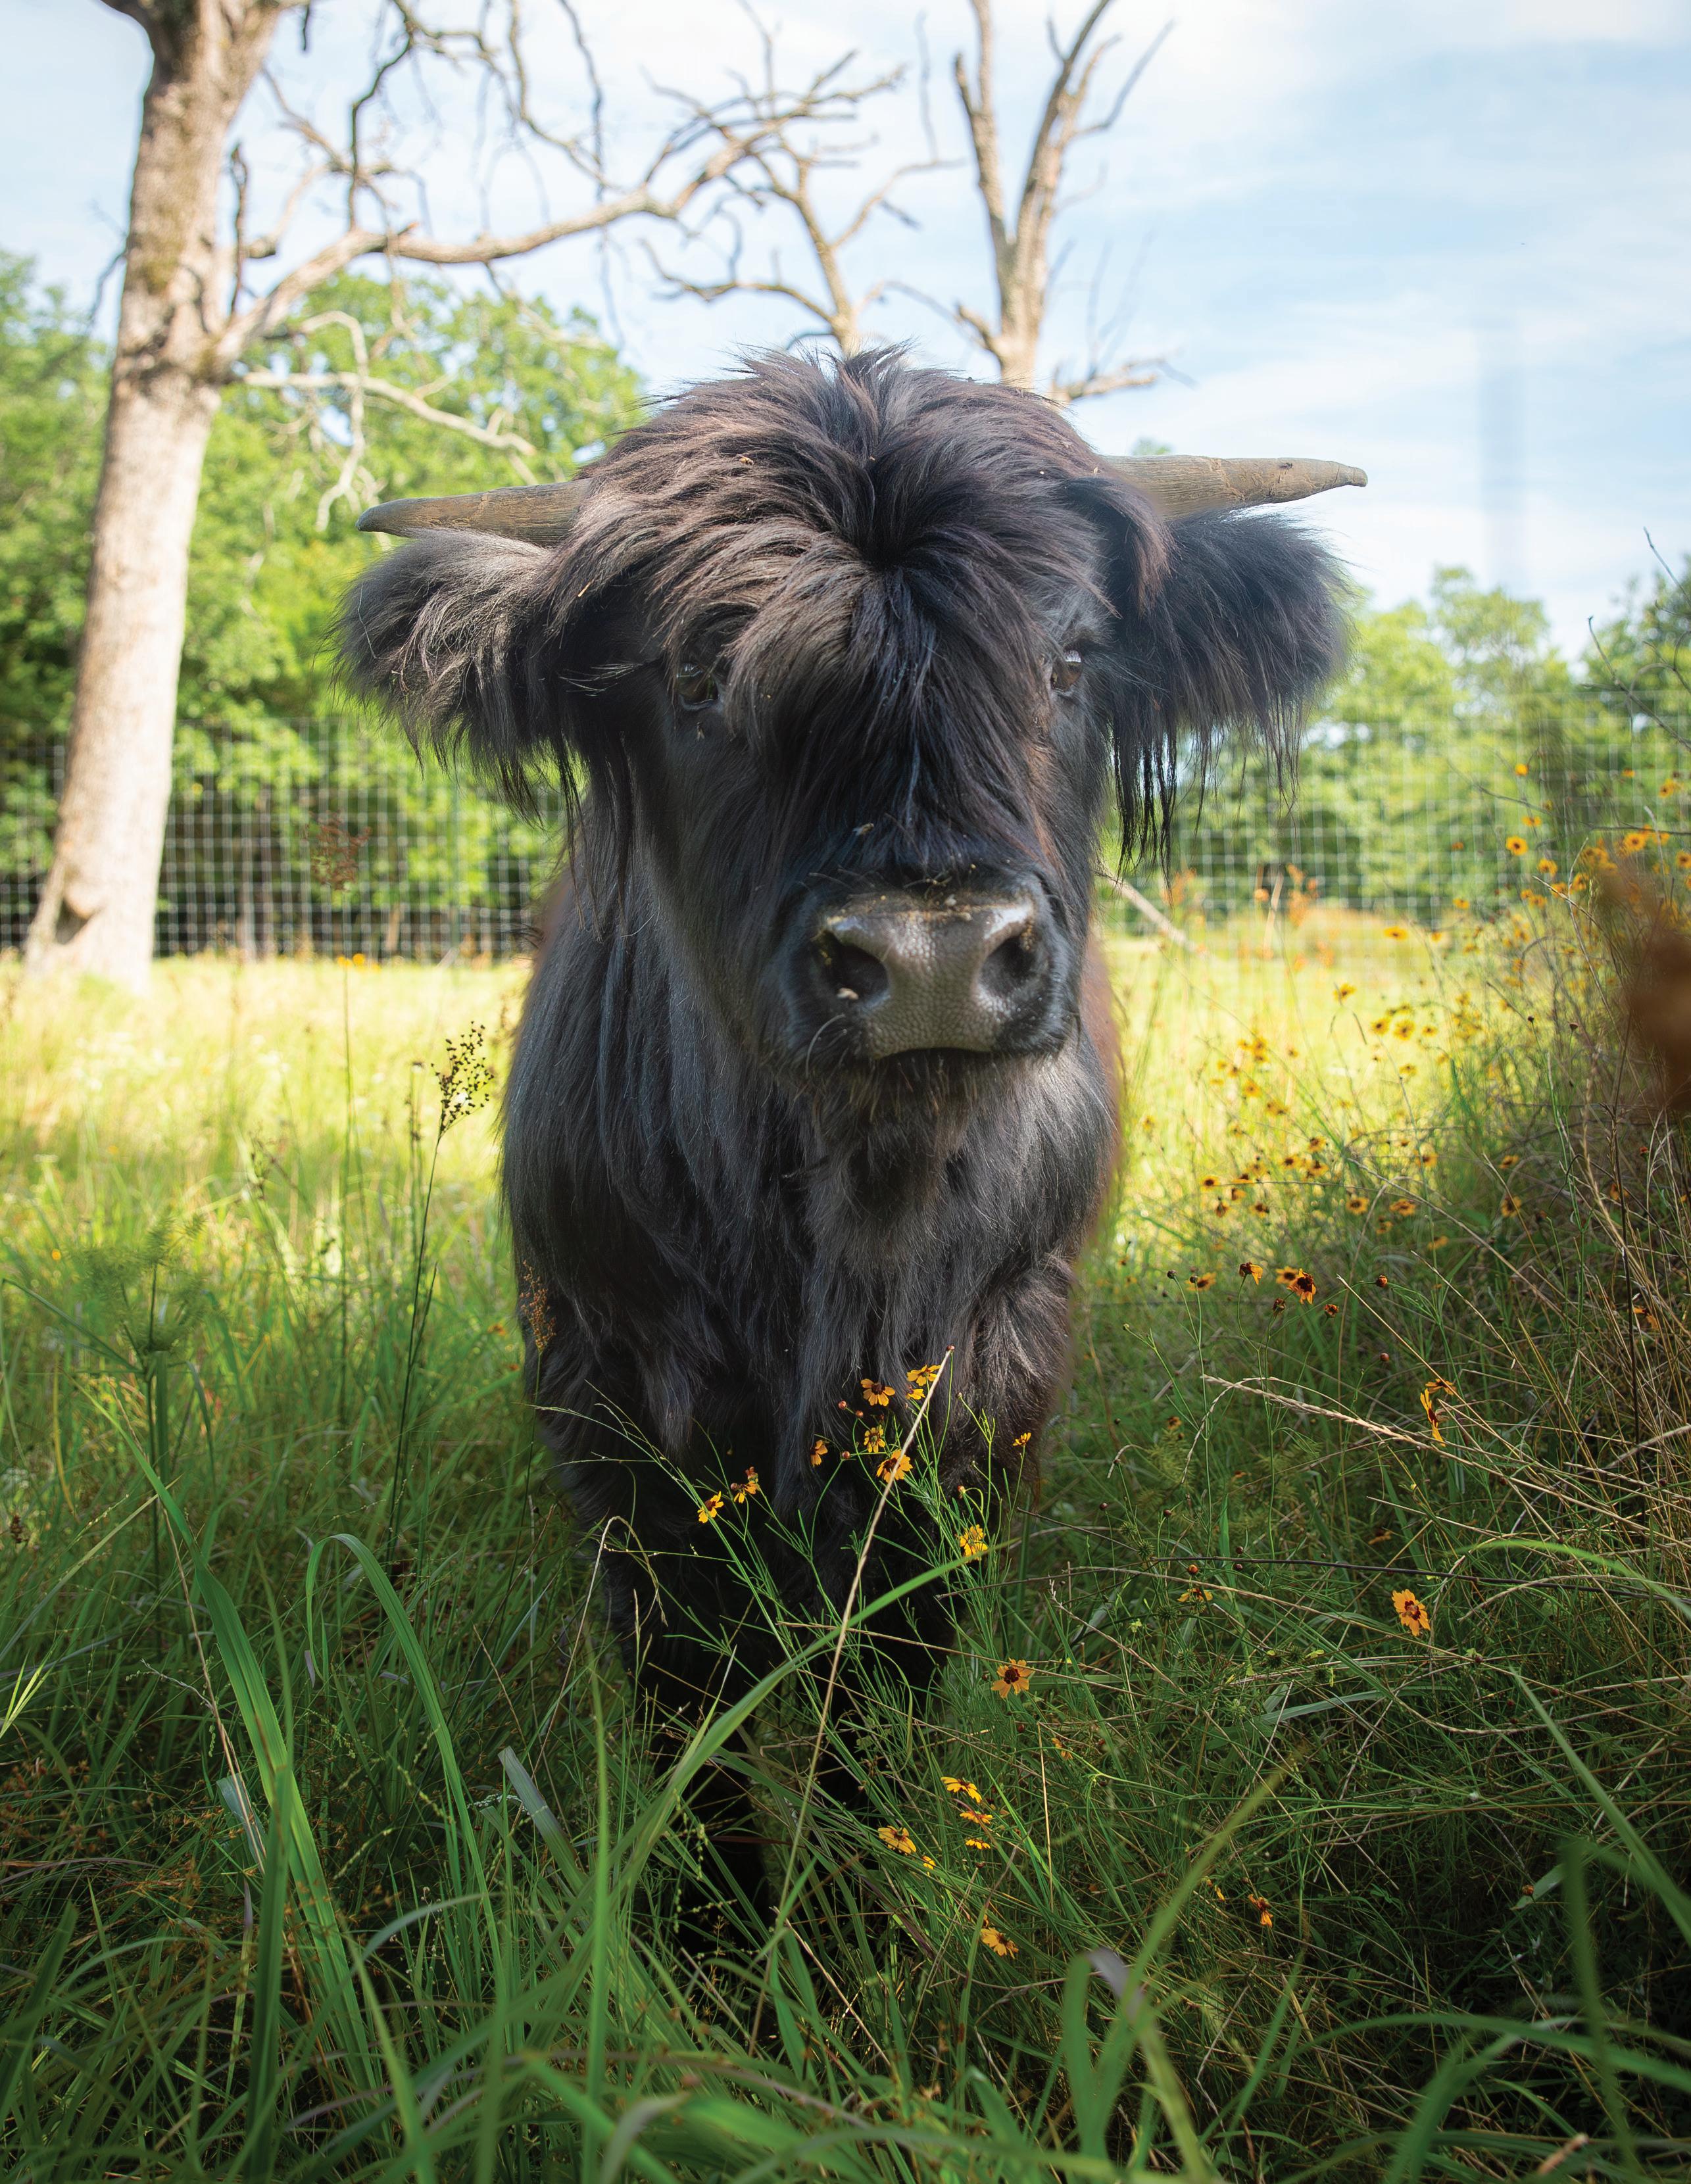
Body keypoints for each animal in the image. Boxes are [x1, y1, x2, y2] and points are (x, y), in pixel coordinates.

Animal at [338, 349, 1358, 1945]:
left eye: (1069, 663)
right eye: (699, 677)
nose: (932, 955)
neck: (843, 1220)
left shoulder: (988, 1371)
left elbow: (881, 1665)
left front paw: (853, 1907)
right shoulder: (609, 1379)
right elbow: (679, 1684)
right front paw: (704, 1927)